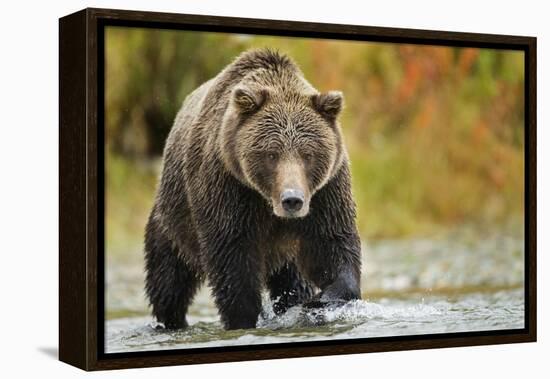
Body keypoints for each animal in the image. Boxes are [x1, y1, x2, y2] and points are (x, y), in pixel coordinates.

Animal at [144, 49, 364, 332]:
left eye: (308, 154)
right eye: (271, 154)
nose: (292, 200)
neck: (266, 201)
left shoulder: (326, 192)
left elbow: (332, 245)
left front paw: (319, 301)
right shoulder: (227, 188)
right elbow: (233, 260)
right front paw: (243, 318)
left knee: (293, 281)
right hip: (173, 221)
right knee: (168, 281)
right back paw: (172, 321)